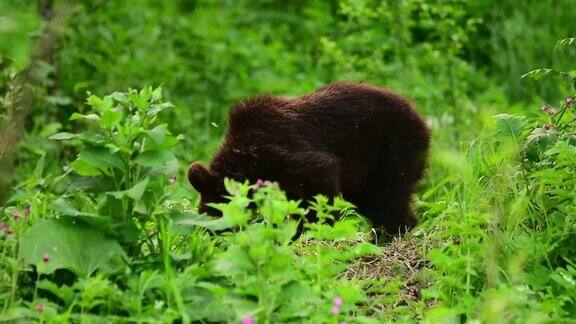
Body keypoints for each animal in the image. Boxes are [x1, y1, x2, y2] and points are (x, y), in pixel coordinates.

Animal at [187, 80, 430, 233]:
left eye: (214, 214)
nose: (209, 236)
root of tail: (421, 119)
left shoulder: (284, 153)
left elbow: (318, 182)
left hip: (389, 151)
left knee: (387, 198)